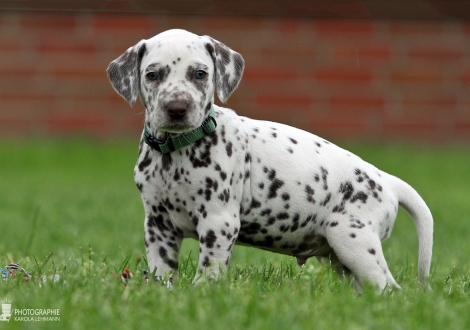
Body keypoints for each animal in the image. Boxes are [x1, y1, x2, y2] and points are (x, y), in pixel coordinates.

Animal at [106, 29, 434, 292]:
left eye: (199, 74)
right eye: (153, 75)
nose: (177, 108)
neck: (175, 153)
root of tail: (386, 180)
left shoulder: (218, 222)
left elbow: (210, 270)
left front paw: (202, 294)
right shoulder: (158, 227)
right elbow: (161, 272)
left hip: (354, 242)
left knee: (389, 288)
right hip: (342, 258)